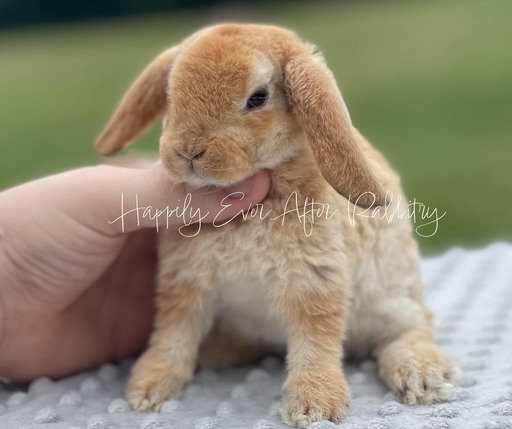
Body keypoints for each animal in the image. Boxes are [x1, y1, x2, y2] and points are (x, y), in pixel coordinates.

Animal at [95, 24, 460, 428]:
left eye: (257, 98)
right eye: (170, 95)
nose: (189, 152)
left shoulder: (315, 280)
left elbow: (315, 340)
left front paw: (315, 406)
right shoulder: (186, 281)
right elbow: (174, 332)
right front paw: (148, 389)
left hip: (393, 302)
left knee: (411, 332)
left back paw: (424, 379)